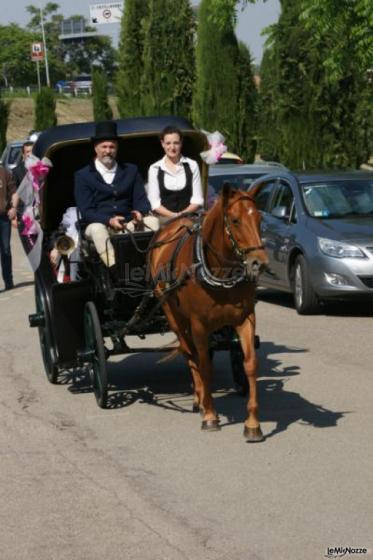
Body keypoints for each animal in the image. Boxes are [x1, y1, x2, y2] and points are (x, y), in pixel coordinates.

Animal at [147, 184, 268, 442]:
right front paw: (210, 415)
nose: (259, 263)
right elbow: (204, 366)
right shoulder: (199, 324)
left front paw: (253, 424)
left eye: (260, 218)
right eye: (235, 220)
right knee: (188, 352)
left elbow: (250, 364)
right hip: (173, 314)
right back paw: (201, 400)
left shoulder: (245, 319)